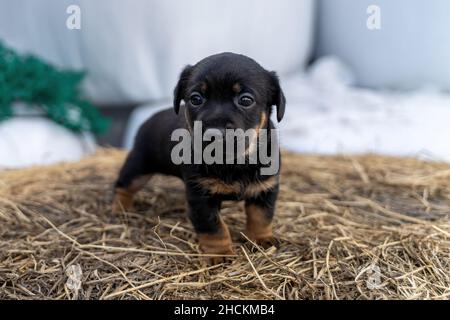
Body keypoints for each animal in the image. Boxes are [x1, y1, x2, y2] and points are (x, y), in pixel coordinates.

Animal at [114, 52, 286, 262]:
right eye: (196, 98)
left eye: (246, 100)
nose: (214, 133)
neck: (232, 162)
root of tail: (148, 119)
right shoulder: (201, 197)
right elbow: (214, 227)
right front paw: (220, 253)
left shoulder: (265, 189)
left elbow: (261, 216)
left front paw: (261, 238)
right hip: (139, 165)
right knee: (123, 185)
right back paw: (119, 208)